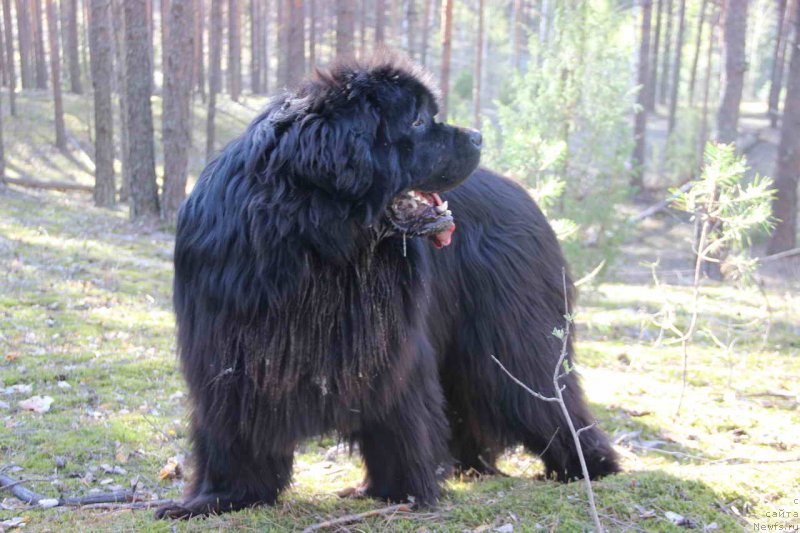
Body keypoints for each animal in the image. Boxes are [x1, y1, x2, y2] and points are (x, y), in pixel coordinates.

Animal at [155, 56, 620, 516]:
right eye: (416, 121)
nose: (478, 136)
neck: (317, 238)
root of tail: (522, 194)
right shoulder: (231, 353)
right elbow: (235, 429)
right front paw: (223, 497)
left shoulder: (392, 351)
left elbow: (400, 418)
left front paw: (403, 491)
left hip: (512, 337)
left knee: (542, 392)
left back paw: (587, 465)